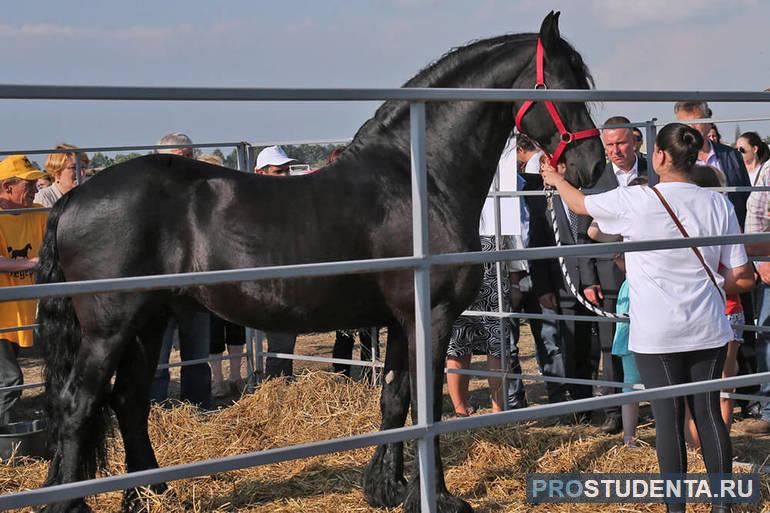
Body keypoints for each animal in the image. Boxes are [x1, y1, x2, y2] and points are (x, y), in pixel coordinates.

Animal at [34, 11, 600, 512]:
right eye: (566, 86)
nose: (591, 168)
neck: (419, 178)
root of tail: (75, 197)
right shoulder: (431, 317)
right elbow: (428, 405)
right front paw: (436, 497)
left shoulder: (400, 321)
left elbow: (395, 399)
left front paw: (386, 490)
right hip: (109, 328)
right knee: (79, 405)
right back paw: (71, 504)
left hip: (149, 322)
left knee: (128, 403)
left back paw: (150, 496)